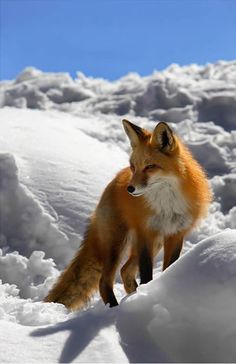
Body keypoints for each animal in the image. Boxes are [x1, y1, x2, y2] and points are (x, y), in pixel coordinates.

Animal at [44, 119, 212, 310]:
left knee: (125, 271)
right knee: (105, 281)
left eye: (150, 166)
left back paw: (131, 297)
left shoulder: (176, 233)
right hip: (117, 243)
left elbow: (169, 267)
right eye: (134, 166)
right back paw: (115, 308)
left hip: (153, 243)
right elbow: (146, 273)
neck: (166, 203)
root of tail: (112, 183)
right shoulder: (146, 233)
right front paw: (146, 296)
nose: (130, 189)